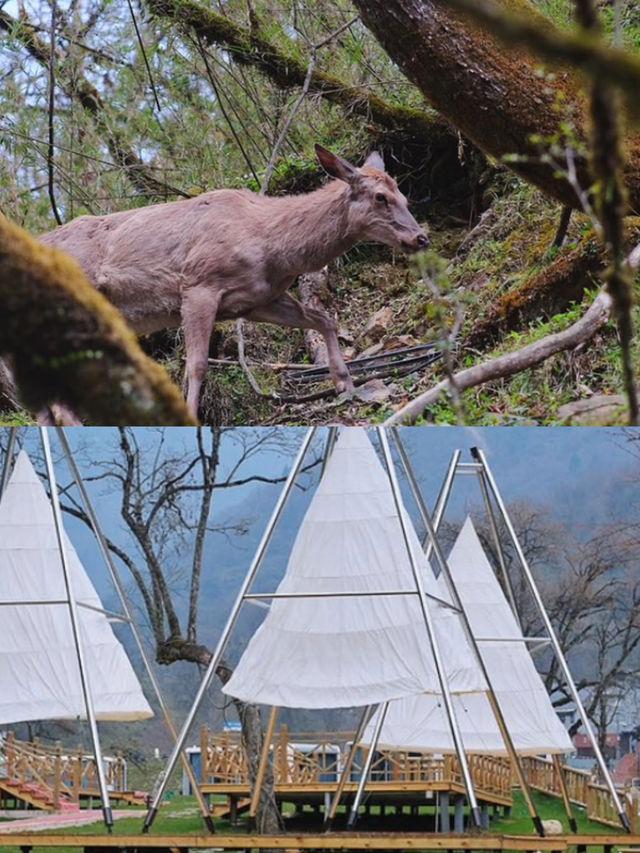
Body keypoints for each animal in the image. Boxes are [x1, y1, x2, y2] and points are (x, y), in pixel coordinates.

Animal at [38, 146, 430, 420]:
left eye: (405, 196)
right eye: (380, 197)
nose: (421, 238)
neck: (271, 243)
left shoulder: (259, 299)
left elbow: (324, 319)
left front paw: (344, 382)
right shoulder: (198, 284)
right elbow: (196, 365)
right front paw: (191, 417)